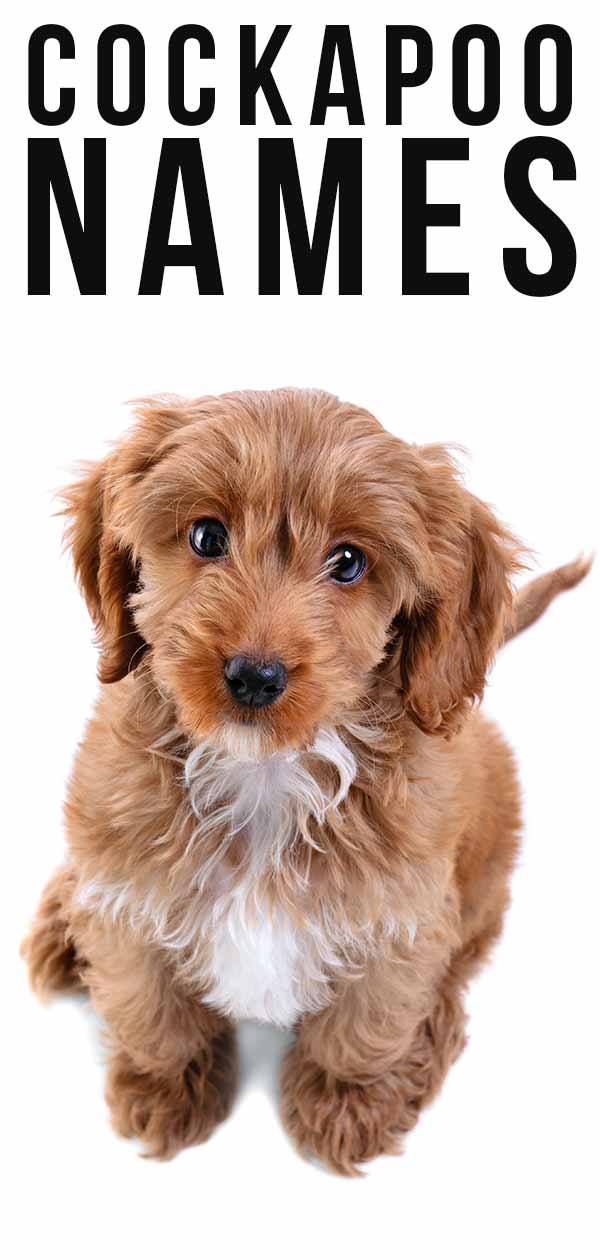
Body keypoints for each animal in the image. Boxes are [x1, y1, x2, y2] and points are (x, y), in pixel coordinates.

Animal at [23, 390, 589, 1169]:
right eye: (206, 536)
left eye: (348, 562)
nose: (255, 676)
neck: (263, 775)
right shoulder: (127, 884)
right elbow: (151, 1004)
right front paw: (167, 1087)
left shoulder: (401, 918)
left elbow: (366, 1022)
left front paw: (345, 1105)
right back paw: (59, 929)